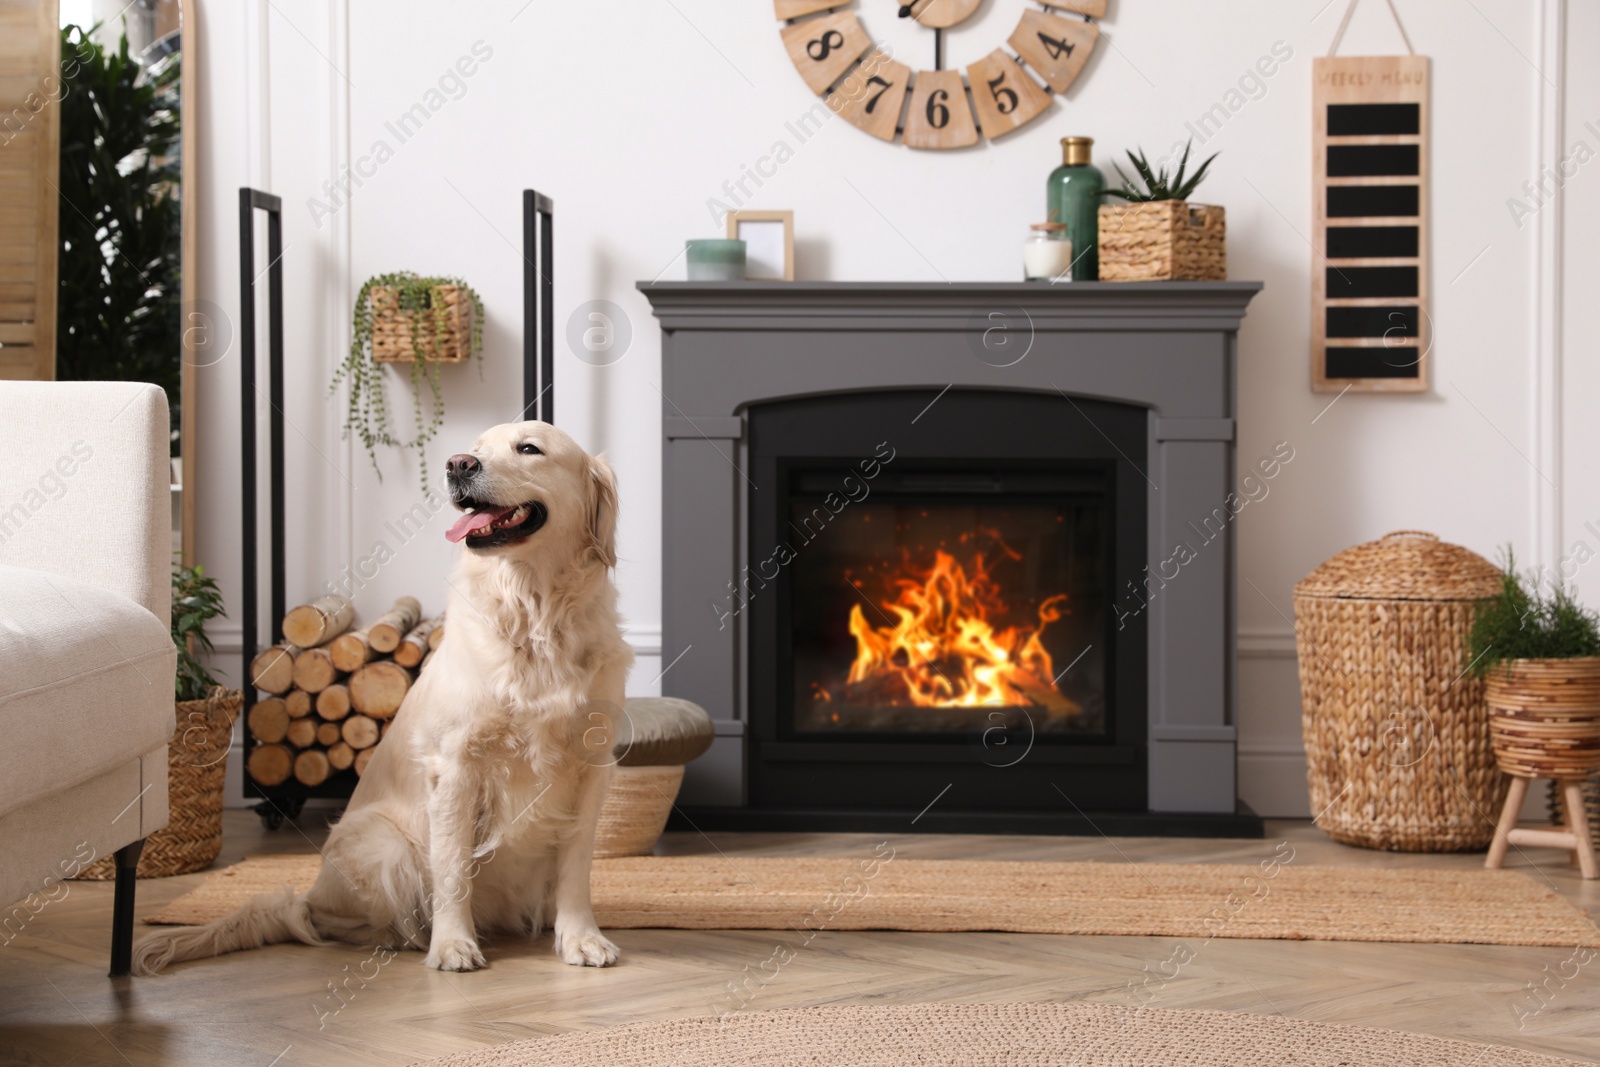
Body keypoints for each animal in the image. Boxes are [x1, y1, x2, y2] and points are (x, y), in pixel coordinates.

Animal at [134, 422, 630, 972]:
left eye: (529, 448)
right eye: (476, 448)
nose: (458, 464)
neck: (536, 615)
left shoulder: (591, 765)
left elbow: (576, 865)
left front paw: (581, 937)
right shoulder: (455, 765)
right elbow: (452, 867)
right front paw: (453, 945)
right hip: (385, 845)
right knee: (316, 920)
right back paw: (403, 936)